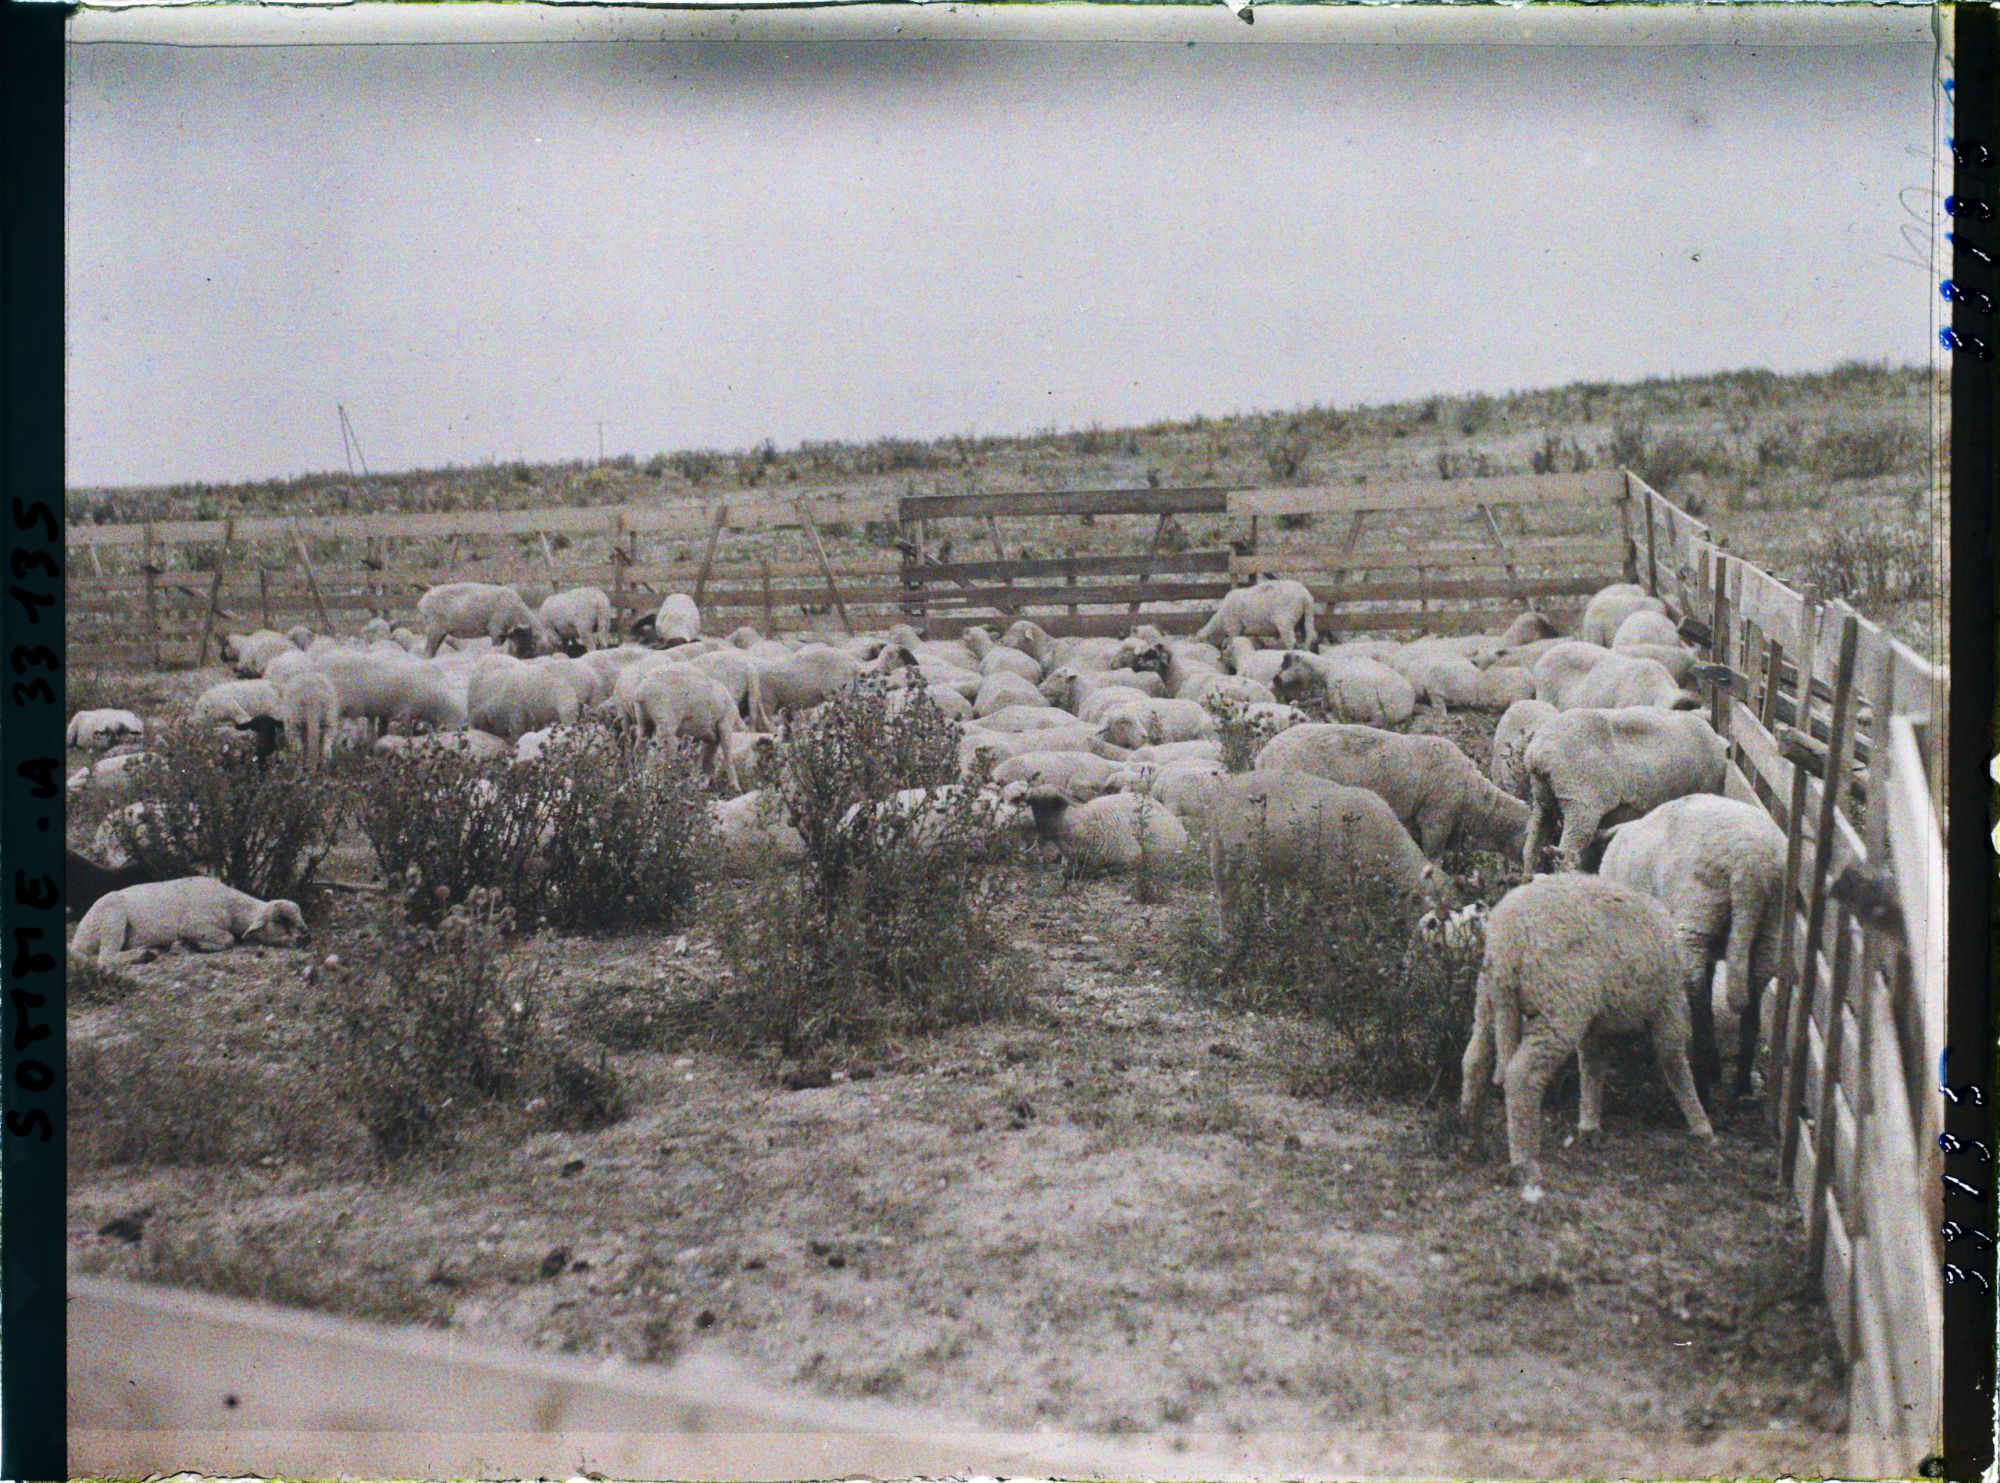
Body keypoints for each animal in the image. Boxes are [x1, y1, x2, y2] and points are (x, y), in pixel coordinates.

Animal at [70, 877, 310, 965]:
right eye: (280, 921)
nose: (305, 939)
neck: (230, 905)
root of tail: (77, 940)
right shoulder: (194, 924)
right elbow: (229, 939)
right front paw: (192, 945)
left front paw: (183, 945)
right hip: (111, 917)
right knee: (105, 959)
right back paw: (144, 954)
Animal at [1272, 651, 1418, 727]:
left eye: (1285, 664)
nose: (1275, 679)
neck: (1327, 669)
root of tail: (1411, 702)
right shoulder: (1328, 696)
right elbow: (1315, 701)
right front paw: (1297, 702)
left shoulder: (1336, 696)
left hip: (1382, 707)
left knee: (1376, 723)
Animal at [1458, 873, 1713, 1200]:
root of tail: (1507, 942)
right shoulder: (1667, 1002)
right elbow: (1674, 1062)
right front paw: (1702, 1126)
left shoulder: (1597, 1022)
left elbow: (1592, 1064)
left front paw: (1589, 1126)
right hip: (1558, 1005)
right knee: (1522, 1076)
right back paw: (1526, 1167)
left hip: (1489, 1000)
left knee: (1474, 1059)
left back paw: (1471, 1138)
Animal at [1598, 794, 1788, 1103]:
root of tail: (1750, 866)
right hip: (1769, 930)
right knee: (1749, 1005)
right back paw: (1741, 1086)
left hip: (1696, 917)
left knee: (1697, 998)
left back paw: (1703, 1077)